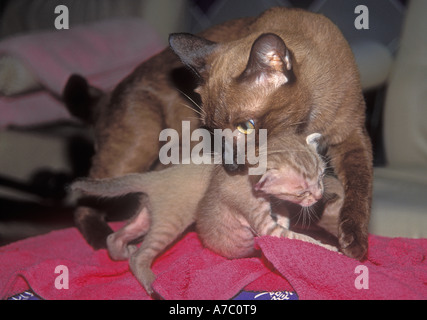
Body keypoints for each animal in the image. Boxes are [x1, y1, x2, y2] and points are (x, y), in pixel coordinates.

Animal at [67, 8, 372, 260]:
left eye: (246, 126)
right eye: (212, 131)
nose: (232, 167)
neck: (310, 118)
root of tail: (107, 94)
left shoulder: (352, 138)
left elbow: (359, 189)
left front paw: (354, 244)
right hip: (139, 146)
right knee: (85, 196)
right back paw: (103, 241)